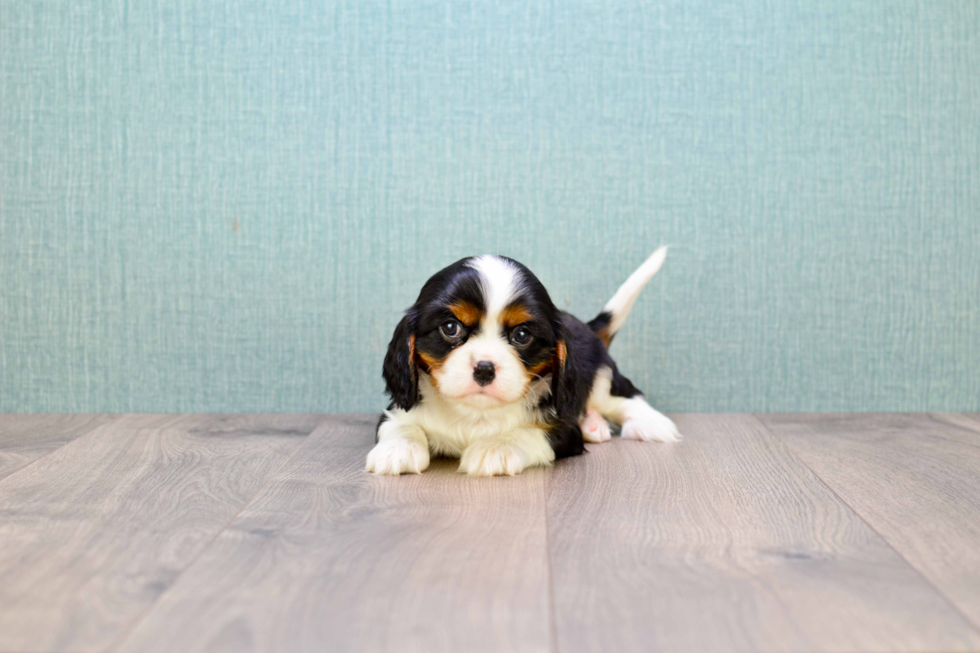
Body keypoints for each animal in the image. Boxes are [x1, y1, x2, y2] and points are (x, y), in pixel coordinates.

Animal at [364, 247, 676, 476]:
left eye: (522, 335)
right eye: (451, 328)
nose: (484, 369)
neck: (475, 414)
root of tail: (585, 326)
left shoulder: (564, 431)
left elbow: (529, 433)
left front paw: (496, 447)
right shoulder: (397, 408)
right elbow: (400, 425)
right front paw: (398, 449)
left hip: (600, 379)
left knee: (624, 396)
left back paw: (651, 424)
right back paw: (594, 427)